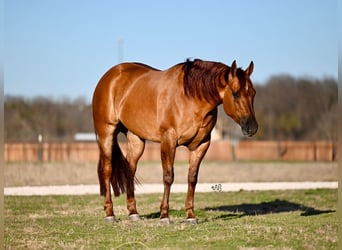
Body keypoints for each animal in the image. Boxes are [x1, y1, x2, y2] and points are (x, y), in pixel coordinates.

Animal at [92, 59, 258, 225]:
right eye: (236, 94)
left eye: (253, 93)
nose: (252, 127)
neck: (190, 98)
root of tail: (110, 76)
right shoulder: (168, 141)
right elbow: (168, 177)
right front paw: (164, 216)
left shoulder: (201, 145)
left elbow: (192, 178)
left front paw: (190, 215)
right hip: (106, 133)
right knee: (107, 171)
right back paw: (110, 214)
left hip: (136, 139)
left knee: (130, 170)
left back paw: (133, 212)